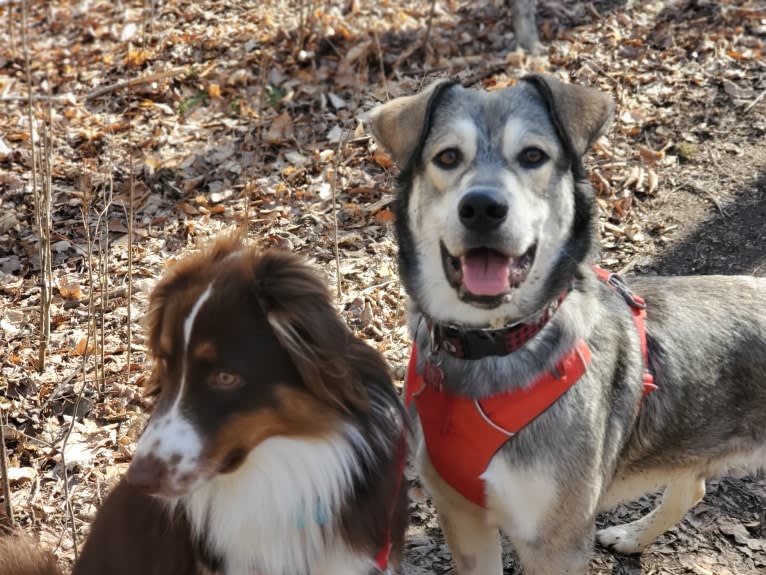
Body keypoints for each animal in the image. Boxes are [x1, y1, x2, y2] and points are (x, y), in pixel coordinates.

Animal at [368, 74, 766, 572]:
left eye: (532, 156)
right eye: (448, 157)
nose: (481, 208)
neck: (495, 344)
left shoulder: (556, 544)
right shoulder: (462, 517)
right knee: (690, 489)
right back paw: (633, 536)